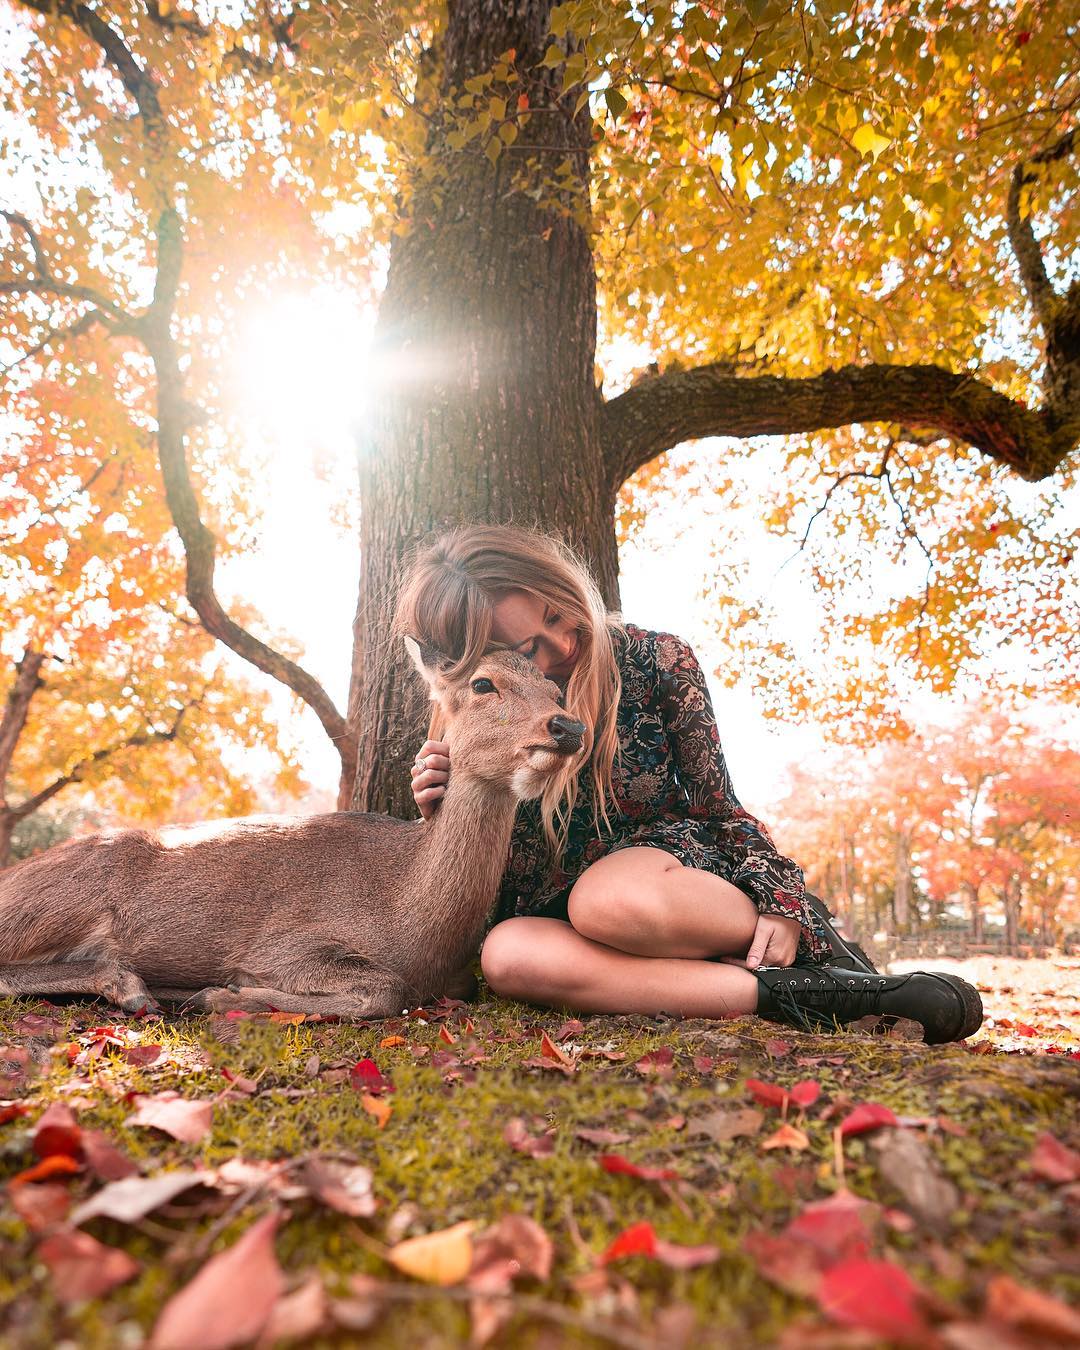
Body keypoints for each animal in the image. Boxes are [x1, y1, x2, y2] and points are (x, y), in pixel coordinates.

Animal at [0, 639, 583, 1015]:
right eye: (484, 683)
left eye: (555, 690)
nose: (568, 725)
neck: (414, 923)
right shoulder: (286, 944)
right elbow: (386, 991)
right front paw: (223, 993)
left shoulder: (458, 979)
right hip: (59, 899)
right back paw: (134, 986)